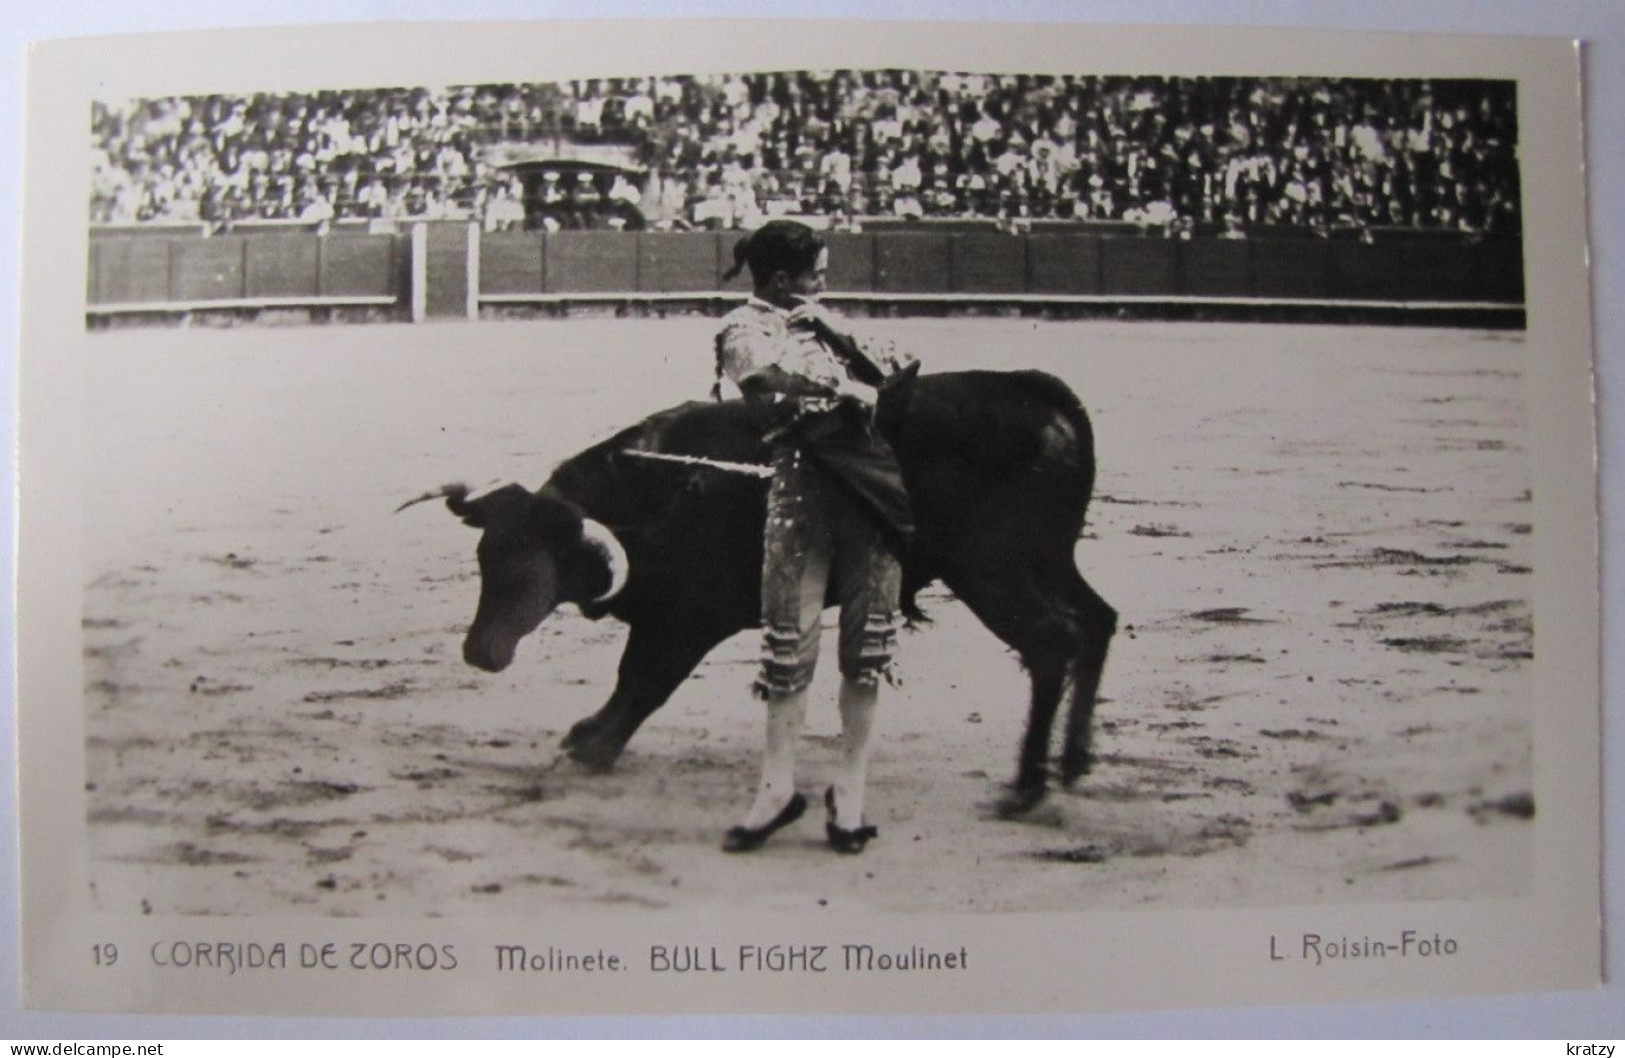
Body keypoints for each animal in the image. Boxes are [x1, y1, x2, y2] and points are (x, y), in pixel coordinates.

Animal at [416, 372, 1118, 819]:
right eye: (487, 559)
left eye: (537, 569)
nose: (480, 651)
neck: (658, 494)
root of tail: (1042, 395)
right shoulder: (665, 615)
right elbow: (629, 680)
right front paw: (587, 734)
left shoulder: (688, 621)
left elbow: (643, 681)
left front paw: (593, 748)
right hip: (1049, 560)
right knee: (1098, 621)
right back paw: (1075, 761)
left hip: (990, 570)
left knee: (1052, 642)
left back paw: (1026, 788)